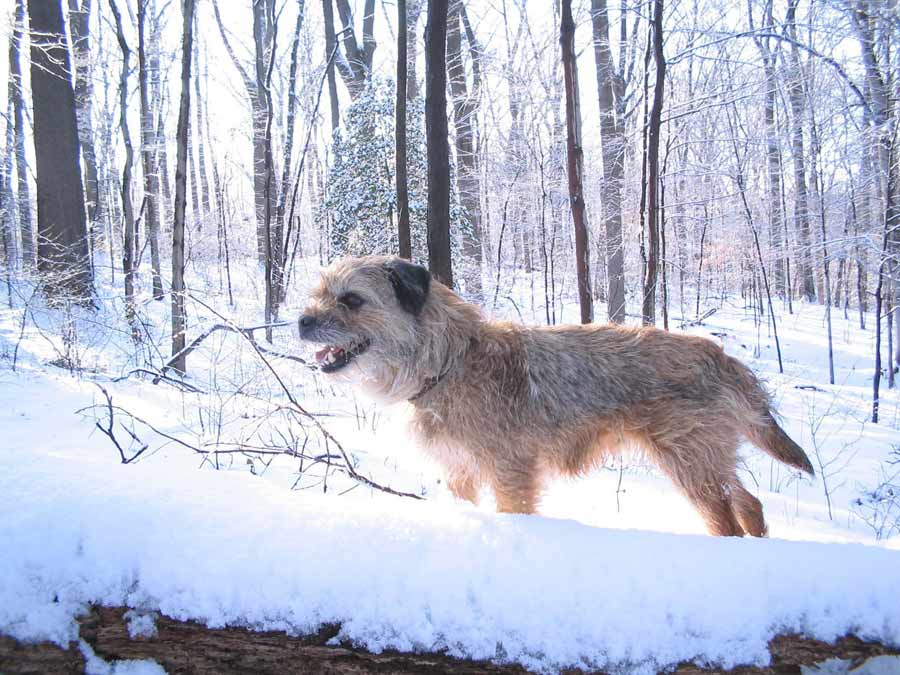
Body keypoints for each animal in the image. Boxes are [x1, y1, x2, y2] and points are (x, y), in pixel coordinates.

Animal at [298, 255, 816, 540]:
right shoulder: (460, 471)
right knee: (750, 502)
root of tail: (721, 356)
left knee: (726, 516)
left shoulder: (511, 472)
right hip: (708, 457)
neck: (450, 361)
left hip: (689, 462)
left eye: (352, 300)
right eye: (317, 294)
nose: (301, 321)